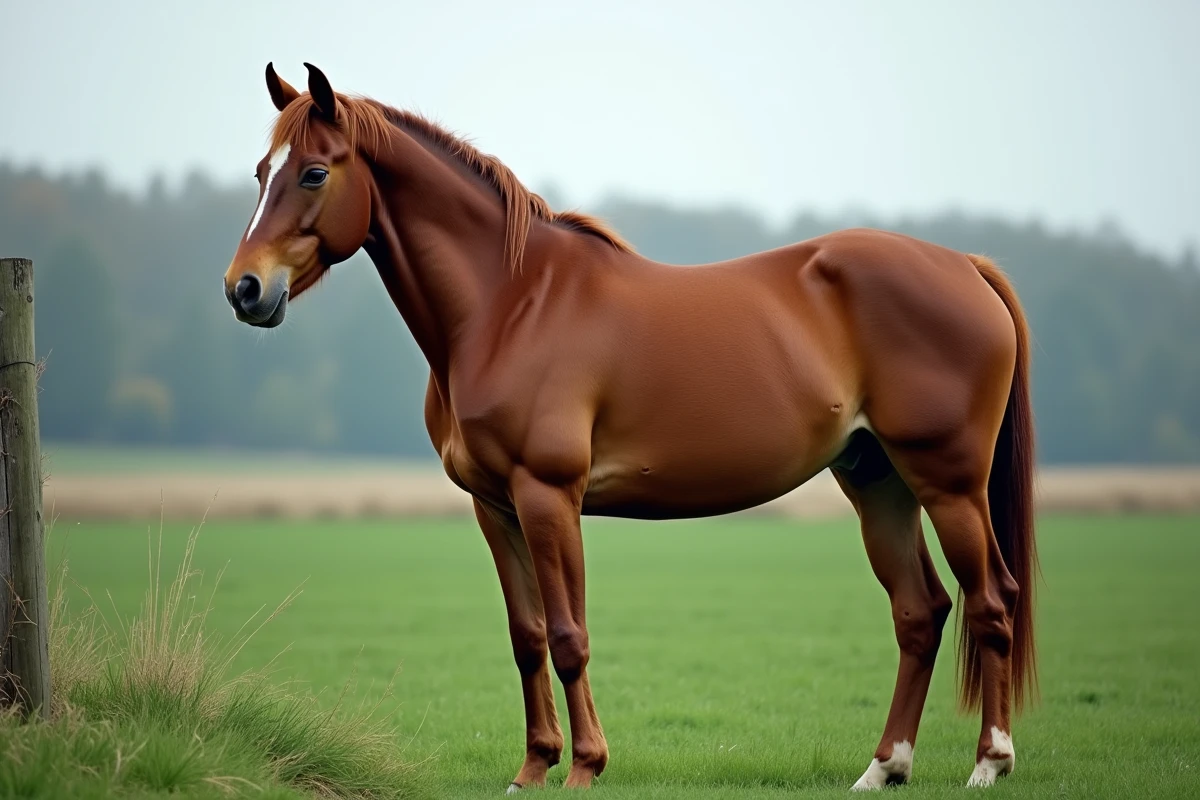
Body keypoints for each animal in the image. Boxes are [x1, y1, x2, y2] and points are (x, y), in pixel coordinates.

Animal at [222, 62, 1037, 792]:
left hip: (948, 483)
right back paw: (883, 767)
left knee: (992, 600)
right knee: (921, 612)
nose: (245, 289)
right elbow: (527, 639)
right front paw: (533, 768)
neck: (510, 305)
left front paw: (584, 767)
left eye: (314, 174)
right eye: (262, 171)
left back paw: (989, 763)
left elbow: (569, 636)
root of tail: (966, 265)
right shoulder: (495, 507)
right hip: (877, 481)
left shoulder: (549, 496)